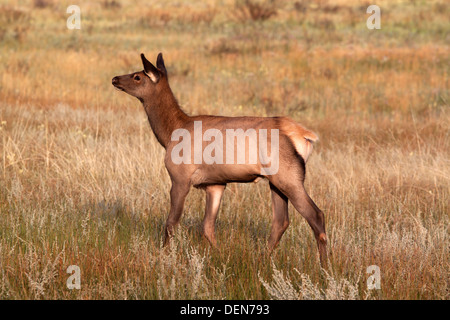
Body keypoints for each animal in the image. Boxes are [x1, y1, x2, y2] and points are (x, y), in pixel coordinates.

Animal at [110, 53, 326, 266]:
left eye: (137, 76)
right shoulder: (216, 184)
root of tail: (305, 135)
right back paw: (262, 259)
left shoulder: (180, 178)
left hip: (289, 176)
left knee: (316, 215)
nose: (115, 79)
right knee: (281, 221)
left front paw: (164, 257)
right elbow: (207, 226)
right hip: (275, 180)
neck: (170, 132)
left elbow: (171, 223)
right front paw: (221, 256)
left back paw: (324, 266)